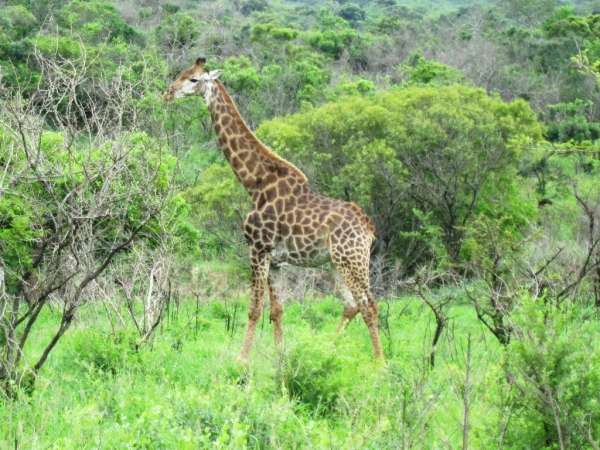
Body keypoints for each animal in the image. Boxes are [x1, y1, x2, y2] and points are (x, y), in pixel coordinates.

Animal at [162, 58, 382, 362]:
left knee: (369, 305)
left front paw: (241, 361)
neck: (254, 182)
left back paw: (380, 364)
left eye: (194, 79)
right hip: (336, 263)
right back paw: (325, 351)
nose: (167, 93)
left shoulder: (257, 249)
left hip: (352, 259)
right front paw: (281, 357)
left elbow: (254, 309)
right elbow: (277, 310)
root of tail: (369, 229)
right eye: (181, 73)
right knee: (352, 305)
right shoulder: (276, 260)